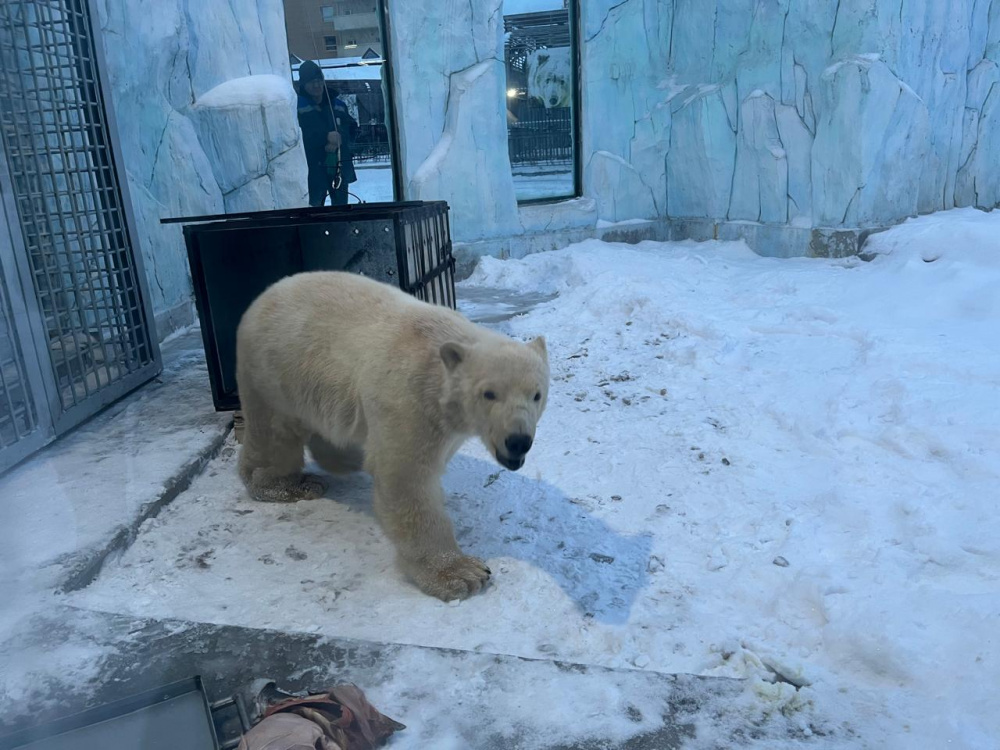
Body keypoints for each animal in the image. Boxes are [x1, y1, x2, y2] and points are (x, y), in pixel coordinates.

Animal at [234, 274, 548, 604]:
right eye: (489, 393)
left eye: (536, 394)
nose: (518, 440)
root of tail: (262, 298)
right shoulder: (409, 400)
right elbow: (406, 479)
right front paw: (462, 574)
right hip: (274, 371)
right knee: (274, 433)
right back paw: (290, 484)